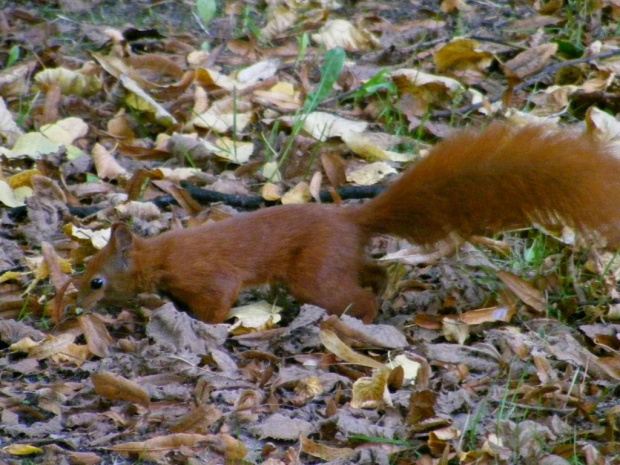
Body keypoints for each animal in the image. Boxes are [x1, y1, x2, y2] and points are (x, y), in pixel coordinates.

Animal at [77, 123, 620, 322]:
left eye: (95, 280)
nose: (71, 307)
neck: (161, 254)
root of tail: (351, 220)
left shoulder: (208, 278)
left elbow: (216, 305)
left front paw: (195, 324)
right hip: (338, 260)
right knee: (371, 272)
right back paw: (384, 289)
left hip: (313, 272)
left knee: (351, 295)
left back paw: (364, 319)